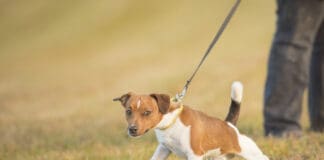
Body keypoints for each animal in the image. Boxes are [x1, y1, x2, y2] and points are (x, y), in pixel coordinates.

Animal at [114, 82, 268, 159]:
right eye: (128, 111)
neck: (171, 123)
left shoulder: (194, 154)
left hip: (251, 153)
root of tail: (229, 125)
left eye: (147, 112)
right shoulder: (163, 149)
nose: (132, 129)